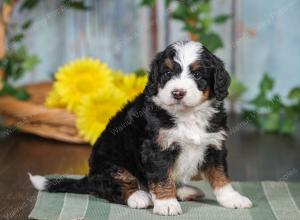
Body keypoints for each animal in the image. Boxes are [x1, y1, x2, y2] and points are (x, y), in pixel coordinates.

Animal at [29, 40, 252, 215]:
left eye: (198, 75)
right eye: (167, 72)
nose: (177, 93)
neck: (187, 115)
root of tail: (89, 177)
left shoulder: (214, 145)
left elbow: (220, 175)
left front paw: (232, 198)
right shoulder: (156, 148)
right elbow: (162, 177)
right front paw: (167, 204)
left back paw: (184, 190)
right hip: (112, 165)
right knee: (113, 188)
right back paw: (139, 196)